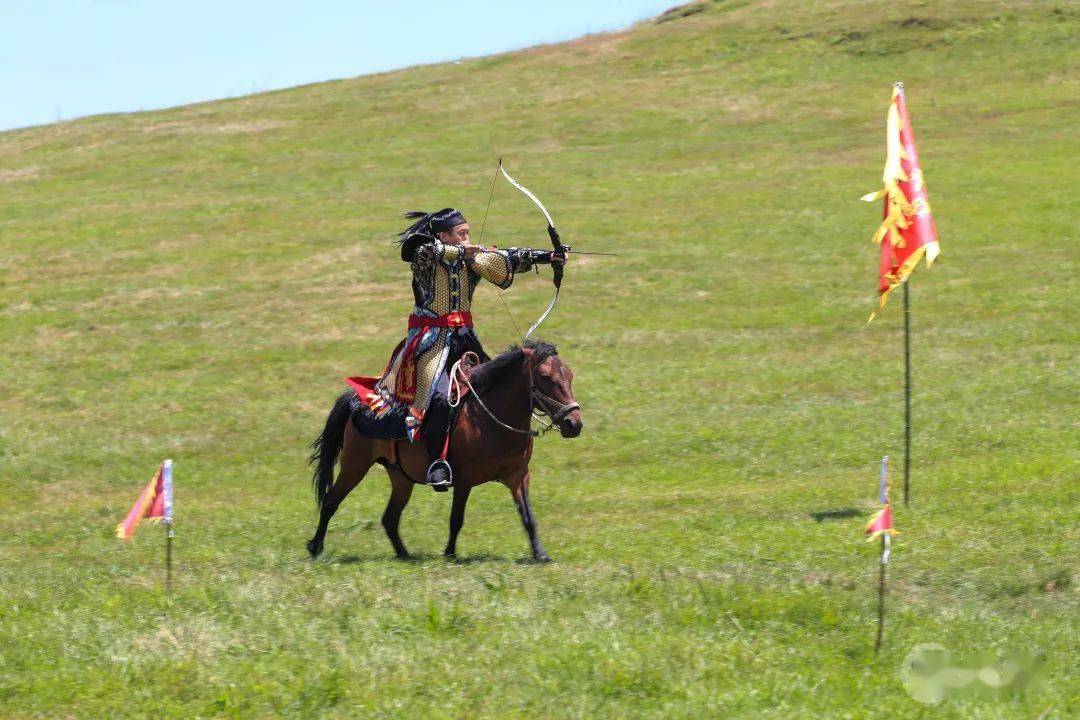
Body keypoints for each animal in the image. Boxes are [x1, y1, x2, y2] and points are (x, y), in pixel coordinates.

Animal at [304, 343, 583, 561]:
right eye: (545, 376)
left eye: (569, 375)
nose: (574, 424)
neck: (488, 418)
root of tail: (356, 401)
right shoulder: (464, 480)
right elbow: (456, 518)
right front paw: (450, 553)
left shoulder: (518, 475)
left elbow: (528, 516)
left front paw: (540, 554)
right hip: (355, 465)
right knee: (330, 502)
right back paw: (315, 547)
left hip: (401, 478)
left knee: (390, 518)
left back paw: (405, 554)